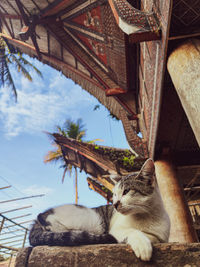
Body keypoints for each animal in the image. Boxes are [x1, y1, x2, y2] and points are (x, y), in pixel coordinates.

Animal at [28, 159, 170, 262]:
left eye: (126, 191)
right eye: (114, 194)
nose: (115, 204)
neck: (146, 216)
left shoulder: (162, 236)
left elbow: (155, 237)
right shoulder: (116, 230)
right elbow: (133, 232)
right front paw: (142, 244)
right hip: (90, 221)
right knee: (45, 219)